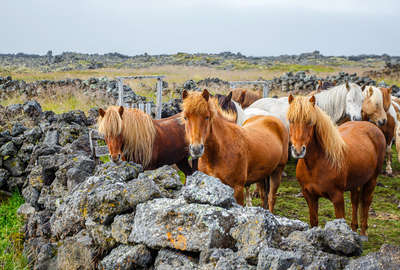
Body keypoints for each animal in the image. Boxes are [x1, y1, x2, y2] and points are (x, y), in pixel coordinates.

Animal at [290, 94, 386, 237]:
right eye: (291, 120)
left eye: (310, 122)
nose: (298, 151)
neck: (316, 165)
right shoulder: (309, 196)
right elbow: (314, 221)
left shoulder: (337, 197)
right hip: (356, 182)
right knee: (355, 201)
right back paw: (354, 229)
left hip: (372, 180)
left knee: (365, 203)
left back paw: (363, 234)